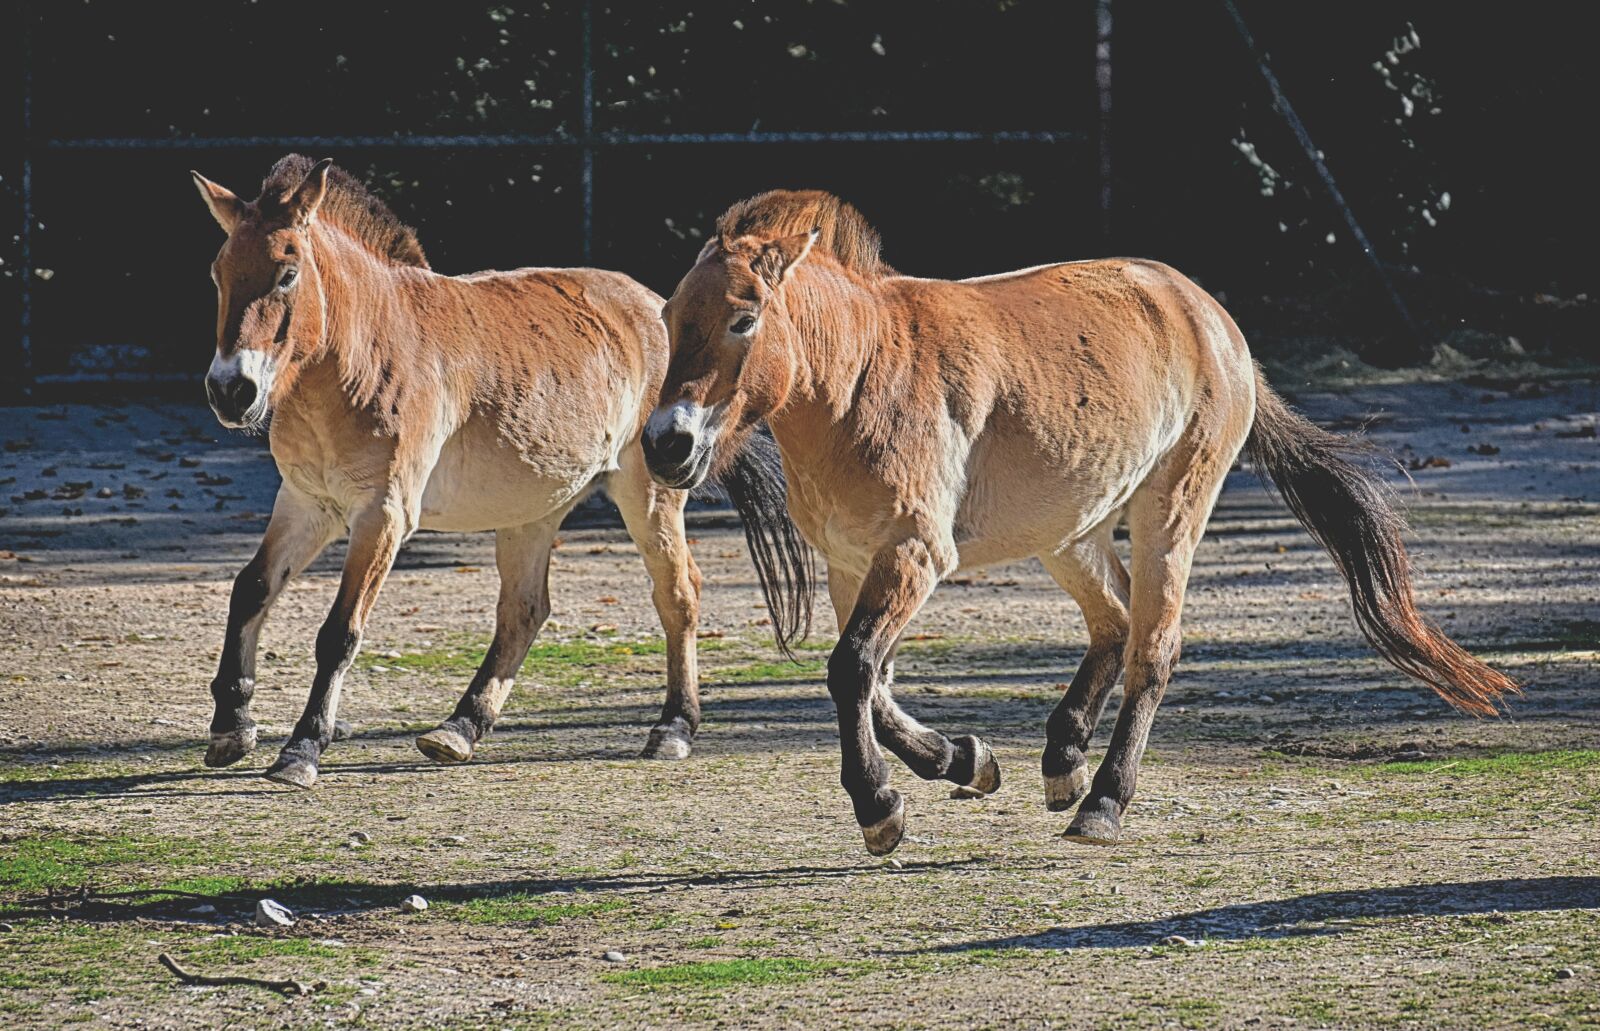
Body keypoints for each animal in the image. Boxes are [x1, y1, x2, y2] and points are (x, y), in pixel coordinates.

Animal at [188, 154, 796, 788]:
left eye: (287, 274)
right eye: (219, 272)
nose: (231, 390)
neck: (361, 353)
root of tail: (657, 308)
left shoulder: (382, 515)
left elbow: (340, 631)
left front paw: (302, 749)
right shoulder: (307, 503)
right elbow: (251, 589)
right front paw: (231, 727)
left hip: (648, 494)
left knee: (677, 594)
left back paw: (673, 728)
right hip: (533, 510)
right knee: (524, 611)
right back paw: (460, 728)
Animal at [640, 189, 1519, 854]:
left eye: (745, 317)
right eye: (672, 315)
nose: (665, 443)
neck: (861, 377)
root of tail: (1212, 319)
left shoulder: (915, 554)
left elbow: (851, 670)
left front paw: (880, 808)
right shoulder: (852, 563)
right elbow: (872, 681)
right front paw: (965, 760)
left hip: (1170, 509)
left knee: (1154, 645)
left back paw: (1102, 801)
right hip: (1070, 530)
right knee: (1116, 621)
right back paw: (1062, 758)